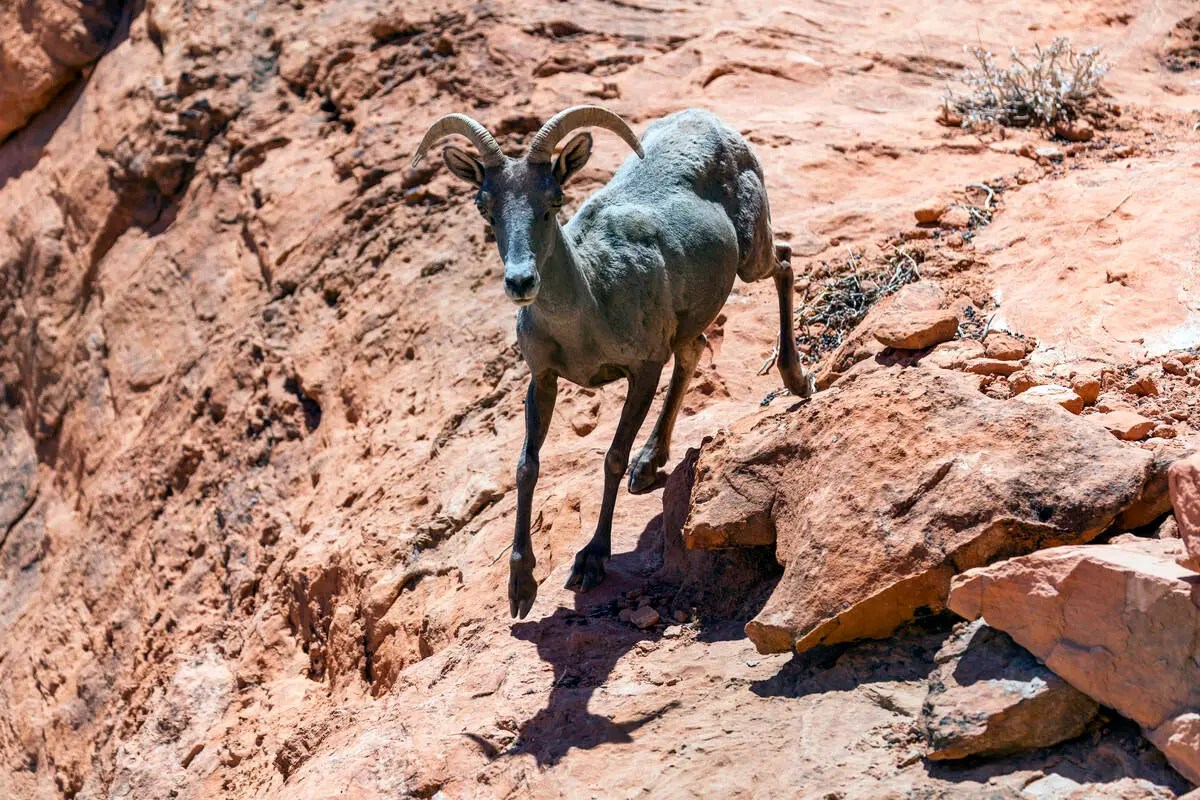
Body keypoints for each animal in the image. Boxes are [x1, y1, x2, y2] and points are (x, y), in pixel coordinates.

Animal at [412, 105, 814, 618]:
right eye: (486, 207)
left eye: (553, 200)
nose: (521, 282)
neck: (590, 306)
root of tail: (710, 121)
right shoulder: (543, 379)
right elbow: (527, 466)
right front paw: (520, 587)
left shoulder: (643, 369)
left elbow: (612, 458)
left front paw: (591, 562)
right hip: (694, 314)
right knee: (694, 350)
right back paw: (650, 466)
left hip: (751, 256)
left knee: (784, 261)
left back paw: (797, 379)